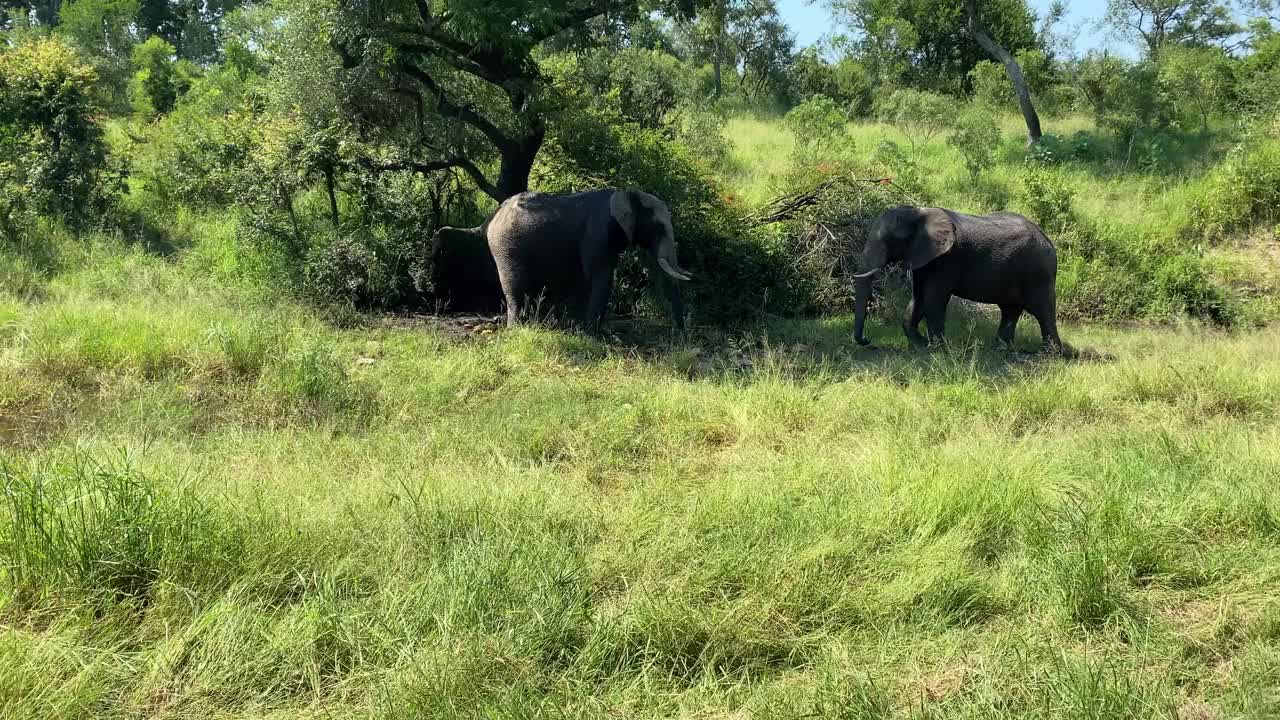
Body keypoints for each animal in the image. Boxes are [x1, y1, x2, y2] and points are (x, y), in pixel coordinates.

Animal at [445, 184, 696, 330]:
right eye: (659, 227)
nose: (680, 334)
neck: (628, 193)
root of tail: (490, 217)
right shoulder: (598, 232)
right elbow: (599, 275)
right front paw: (593, 333)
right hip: (506, 245)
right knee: (514, 285)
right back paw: (517, 328)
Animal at [855, 204, 1064, 351]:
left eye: (891, 240)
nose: (867, 340)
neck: (919, 213)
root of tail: (1049, 241)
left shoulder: (946, 260)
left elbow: (933, 299)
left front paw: (936, 350)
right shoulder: (923, 257)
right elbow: (918, 298)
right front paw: (919, 345)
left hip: (1039, 272)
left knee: (1042, 311)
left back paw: (1049, 355)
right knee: (1010, 310)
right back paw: (1000, 350)